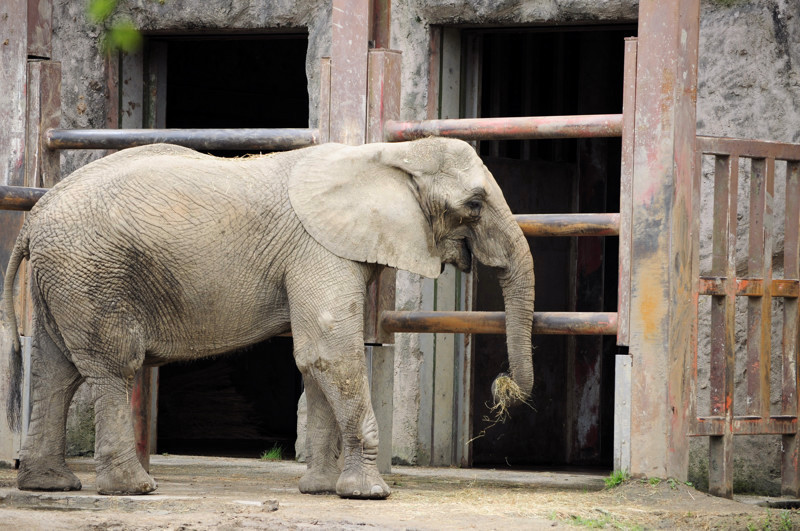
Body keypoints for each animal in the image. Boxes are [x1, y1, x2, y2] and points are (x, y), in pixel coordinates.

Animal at [3, 136, 536, 498]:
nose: (503, 386)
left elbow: (315, 361)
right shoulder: (319, 249)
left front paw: (318, 489)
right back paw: (134, 489)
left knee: (55, 370)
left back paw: (50, 484)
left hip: (66, 277)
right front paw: (368, 494)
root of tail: (35, 214)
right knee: (114, 367)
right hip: (93, 273)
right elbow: (330, 353)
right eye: (474, 204)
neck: (386, 154)